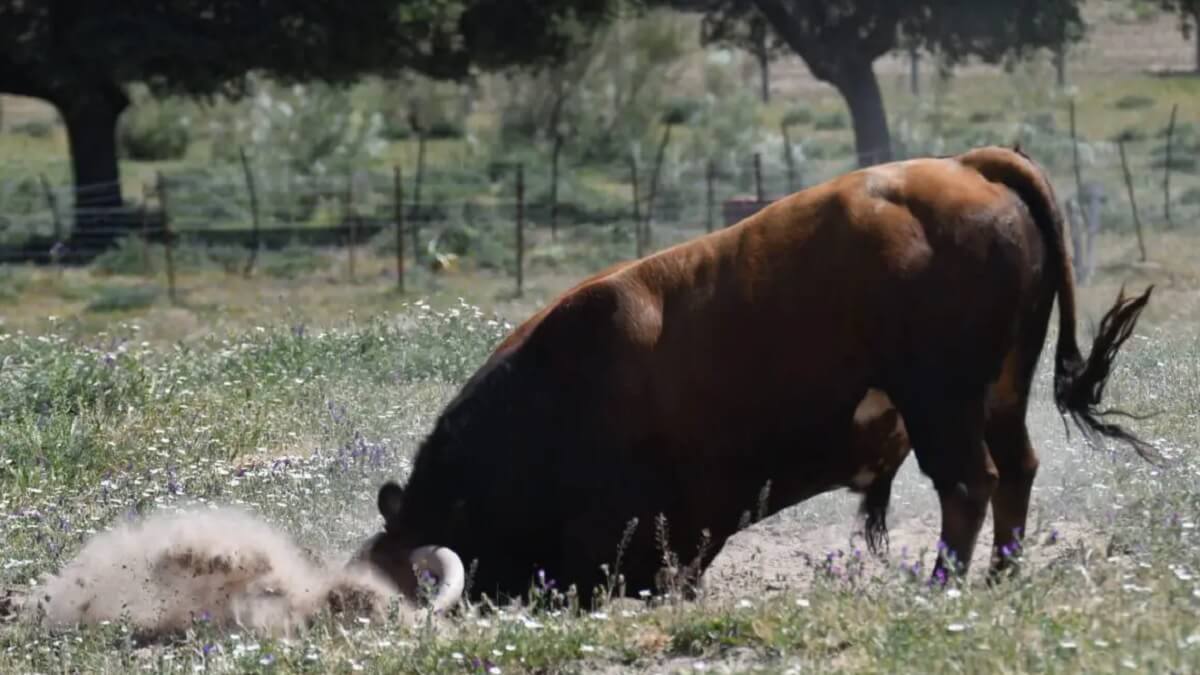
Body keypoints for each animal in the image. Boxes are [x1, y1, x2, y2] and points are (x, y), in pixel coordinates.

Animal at [357, 147, 1152, 610]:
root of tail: (968, 166)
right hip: (1001, 395)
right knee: (1016, 470)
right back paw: (999, 577)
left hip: (941, 401)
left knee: (967, 483)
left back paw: (942, 585)